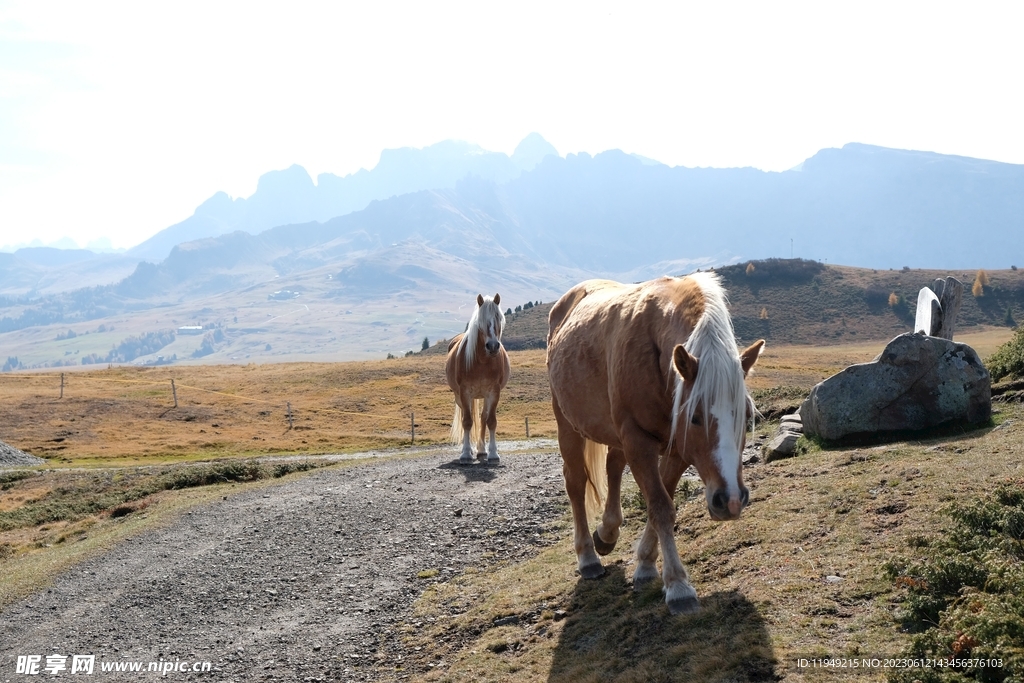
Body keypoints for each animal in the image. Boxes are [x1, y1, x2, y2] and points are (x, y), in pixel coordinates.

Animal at [446, 293, 511, 464]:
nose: (493, 346)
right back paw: (470, 450)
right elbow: (467, 422)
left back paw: (482, 451)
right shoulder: (464, 392)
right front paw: (465, 454)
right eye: (481, 321)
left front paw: (493, 453)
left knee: (482, 418)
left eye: (498, 318)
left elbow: (491, 421)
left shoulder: (494, 392)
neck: (482, 361)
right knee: (466, 418)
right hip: (460, 397)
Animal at [546, 272, 764, 614]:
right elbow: (661, 506)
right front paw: (678, 586)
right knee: (576, 482)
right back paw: (588, 556)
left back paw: (607, 533)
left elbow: (660, 501)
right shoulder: (639, 441)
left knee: (613, 467)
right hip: (567, 424)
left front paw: (646, 565)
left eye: (746, 414)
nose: (730, 500)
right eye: (695, 417)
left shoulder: (677, 451)